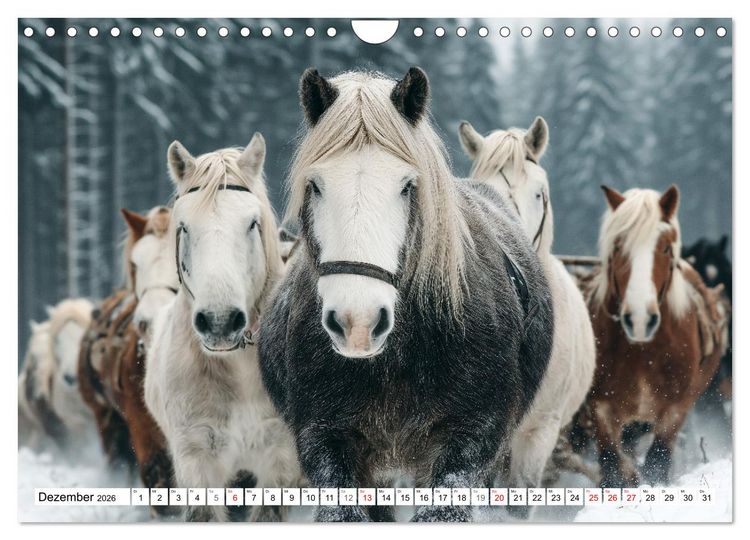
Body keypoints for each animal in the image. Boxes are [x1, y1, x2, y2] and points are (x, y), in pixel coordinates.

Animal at [586, 185, 727, 487]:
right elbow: (612, 469)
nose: (640, 320)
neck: (642, 352)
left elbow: (657, 464)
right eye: (618, 246)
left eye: (664, 247)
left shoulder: (675, 409)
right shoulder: (601, 408)